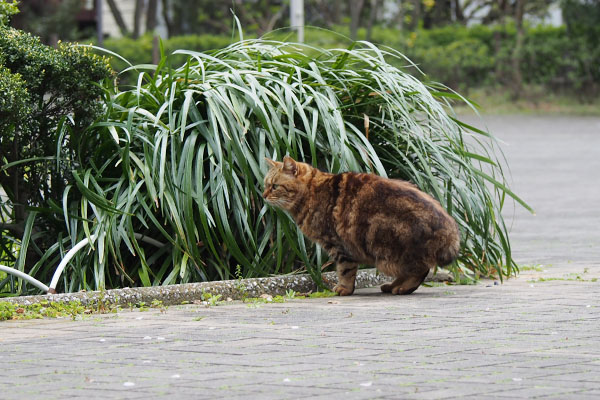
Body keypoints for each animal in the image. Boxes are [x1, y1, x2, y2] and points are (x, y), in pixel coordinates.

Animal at [262, 155, 460, 296]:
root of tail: (451, 230)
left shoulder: (339, 247)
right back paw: (392, 286)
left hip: (391, 251)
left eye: (274, 186)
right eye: (265, 185)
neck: (312, 192)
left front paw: (344, 289)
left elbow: (345, 271)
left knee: (420, 270)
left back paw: (402, 288)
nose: (263, 195)